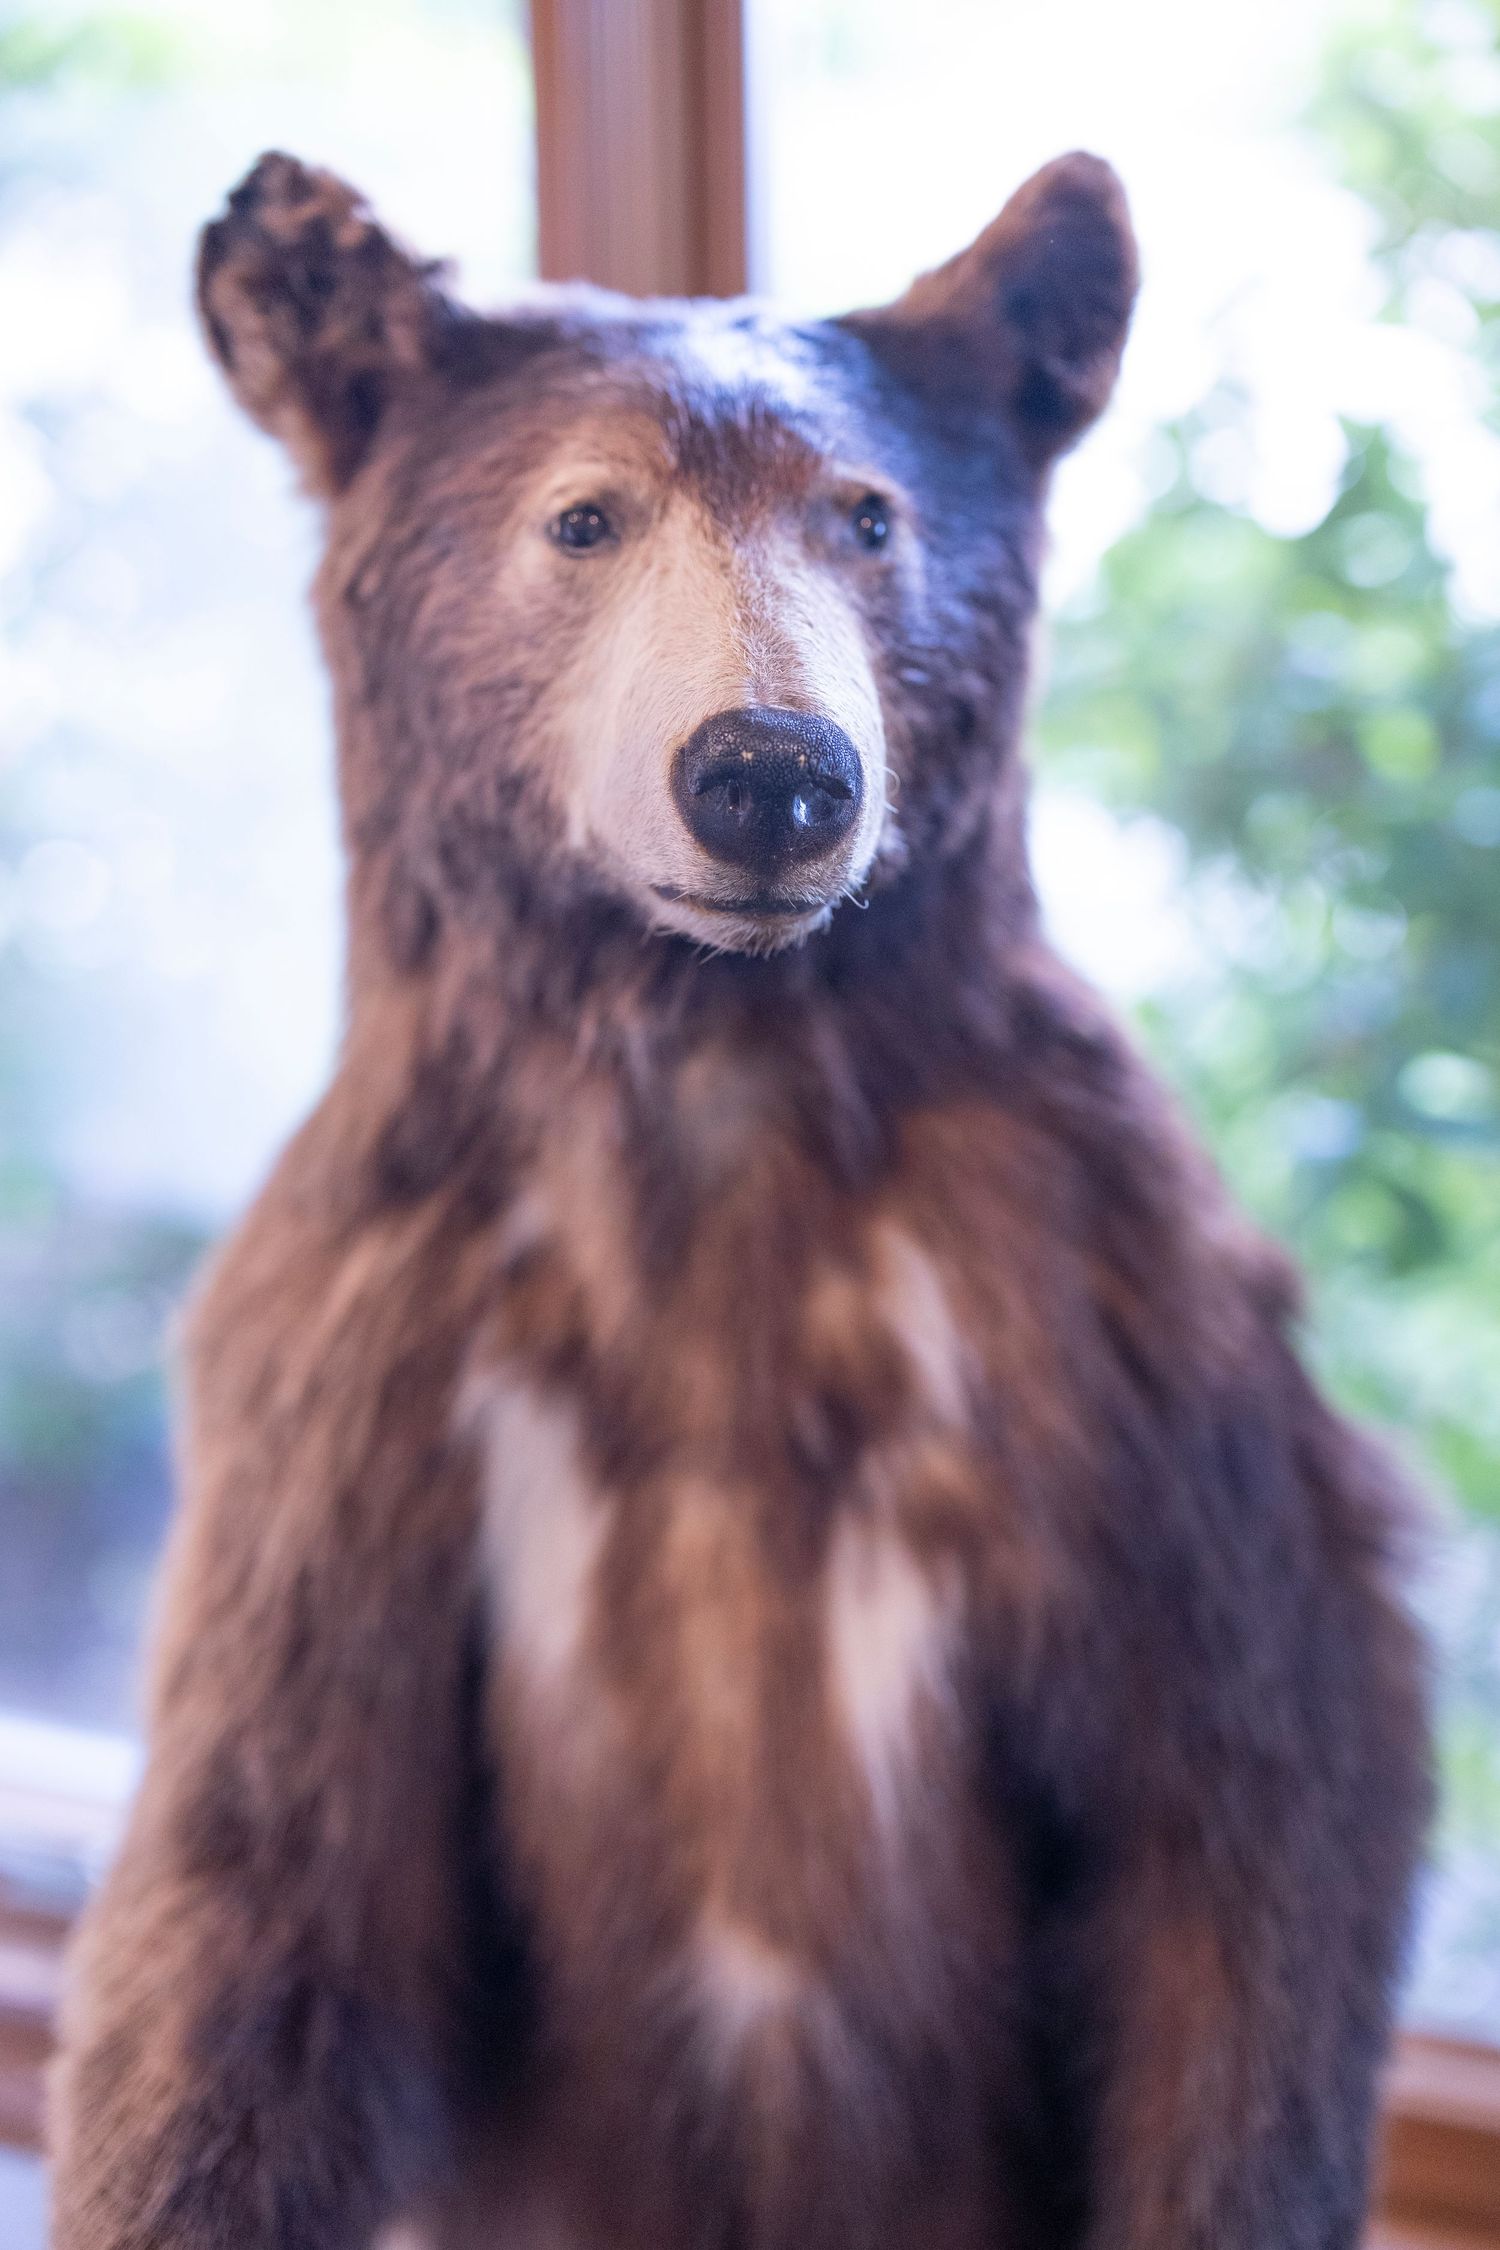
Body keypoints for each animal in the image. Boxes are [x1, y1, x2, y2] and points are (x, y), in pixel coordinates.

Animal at [49, 148, 1431, 2250]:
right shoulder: (358, 1357)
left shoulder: (1104, 1311)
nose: (771, 772)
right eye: (582, 515)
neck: (715, 1086)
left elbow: (1247, 1792)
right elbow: (259, 1885)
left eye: (868, 514)